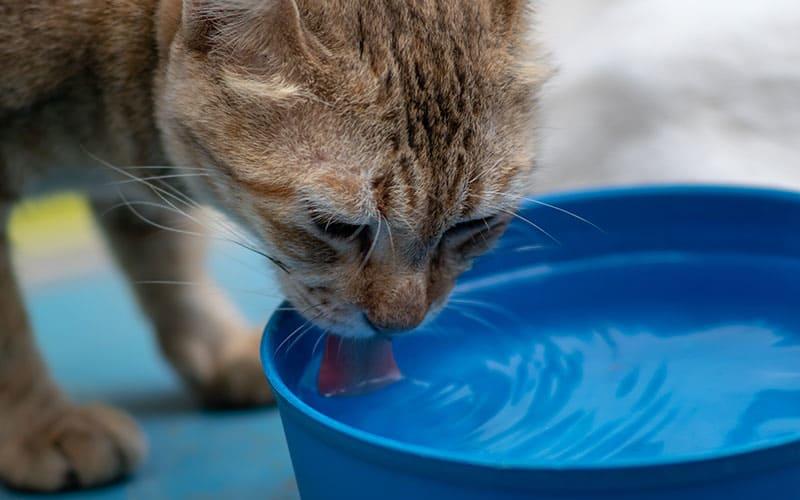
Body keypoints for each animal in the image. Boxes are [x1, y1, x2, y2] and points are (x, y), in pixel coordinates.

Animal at [0, 0, 544, 492]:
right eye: (337, 226)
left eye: (473, 225)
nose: (400, 324)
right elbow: (11, 333)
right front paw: (42, 425)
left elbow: (167, 261)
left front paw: (215, 348)